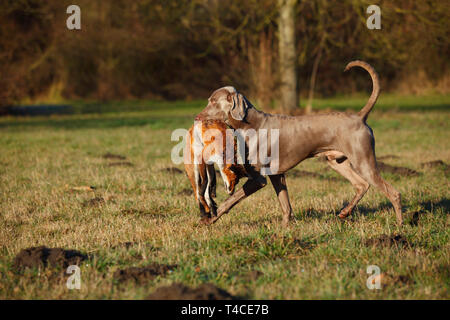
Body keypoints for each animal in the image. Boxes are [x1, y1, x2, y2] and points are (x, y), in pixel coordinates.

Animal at [195, 60, 402, 225]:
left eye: (213, 101)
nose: (197, 117)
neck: (250, 124)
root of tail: (360, 117)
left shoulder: (259, 179)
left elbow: (231, 200)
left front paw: (210, 218)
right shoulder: (277, 175)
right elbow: (285, 204)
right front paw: (285, 227)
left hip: (363, 160)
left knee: (392, 192)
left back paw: (399, 224)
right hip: (336, 161)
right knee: (361, 185)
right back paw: (345, 212)